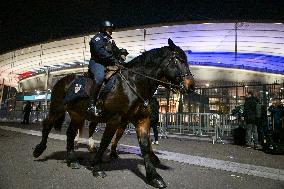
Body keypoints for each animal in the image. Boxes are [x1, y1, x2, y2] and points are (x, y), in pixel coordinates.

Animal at [32, 39, 193, 188]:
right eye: (179, 60)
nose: (191, 85)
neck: (133, 85)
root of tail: (62, 80)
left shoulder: (141, 120)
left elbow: (145, 146)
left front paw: (153, 176)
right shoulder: (114, 119)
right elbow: (105, 142)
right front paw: (97, 167)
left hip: (77, 115)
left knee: (70, 133)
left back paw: (72, 160)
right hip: (57, 108)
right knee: (47, 124)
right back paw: (39, 150)